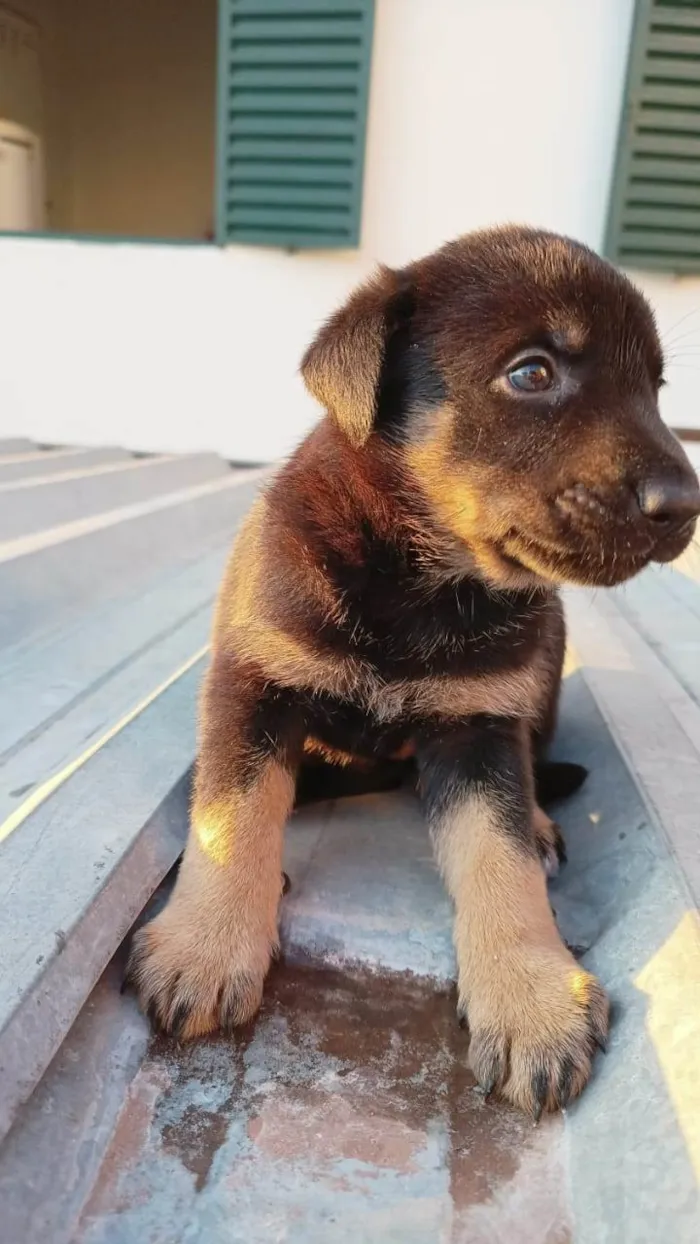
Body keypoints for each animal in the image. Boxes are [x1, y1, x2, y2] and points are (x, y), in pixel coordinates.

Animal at [127, 223, 700, 1119]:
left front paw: (531, 999)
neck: (416, 577)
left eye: (654, 387)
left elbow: (499, 855)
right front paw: (208, 941)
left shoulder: (481, 726)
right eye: (532, 372)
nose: (685, 504)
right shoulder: (253, 684)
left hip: (545, 655)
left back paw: (543, 823)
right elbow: (233, 812)